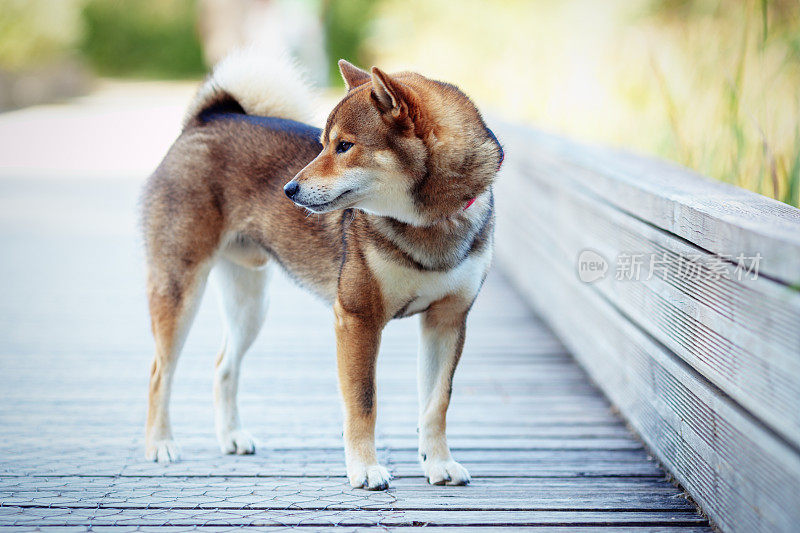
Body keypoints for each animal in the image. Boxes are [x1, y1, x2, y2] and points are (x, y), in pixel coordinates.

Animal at [138, 47, 500, 488]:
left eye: (344, 146)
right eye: (323, 145)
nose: (289, 190)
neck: (429, 224)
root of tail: (208, 118)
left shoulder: (446, 321)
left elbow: (437, 403)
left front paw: (439, 463)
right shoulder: (358, 319)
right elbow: (363, 404)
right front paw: (365, 469)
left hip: (250, 306)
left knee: (224, 366)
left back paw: (232, 437)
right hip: (180, 290)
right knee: (160, 372)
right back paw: (160, 444)